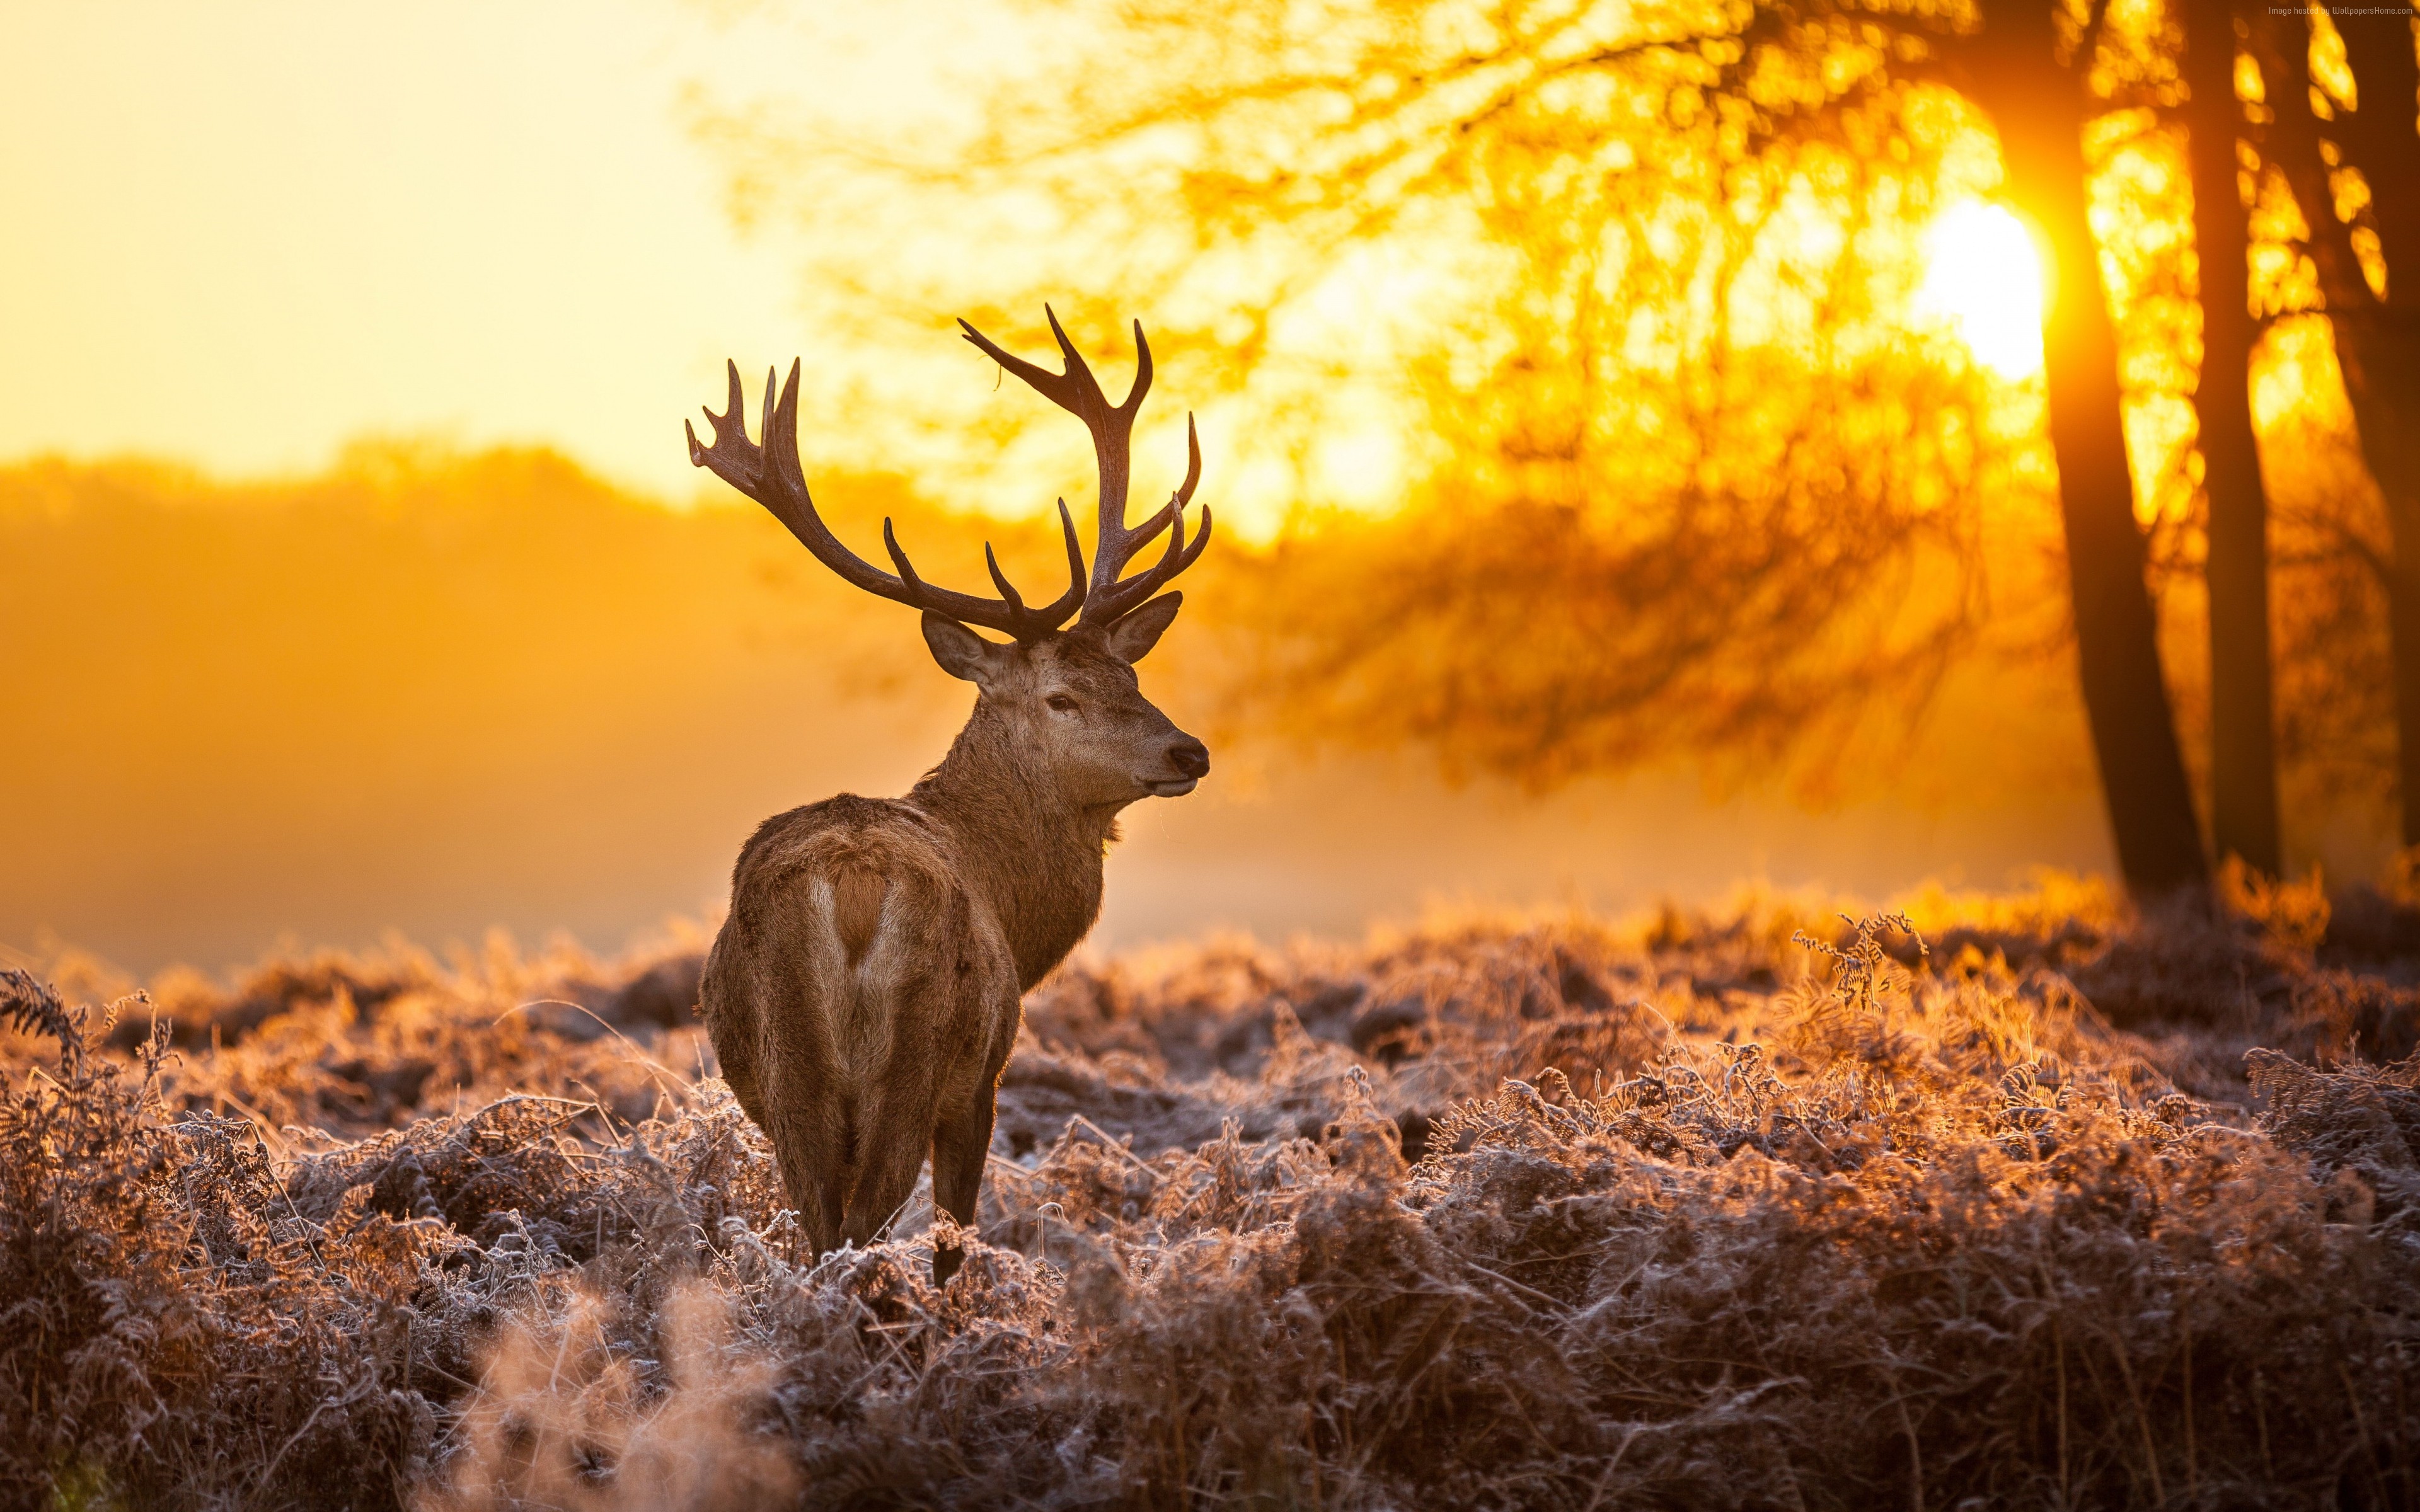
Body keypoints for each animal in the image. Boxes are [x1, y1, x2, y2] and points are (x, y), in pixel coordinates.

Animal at [682, 312, 1210, 1277]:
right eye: (1061, 697)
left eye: (1130, 674)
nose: (1188, 750)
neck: (1015, 904)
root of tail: (852, 887)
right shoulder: (984, 1079)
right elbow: (956, 1236)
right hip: (919, 1055)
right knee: (865, 1225)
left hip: (788, 1074)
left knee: (821, 1230)